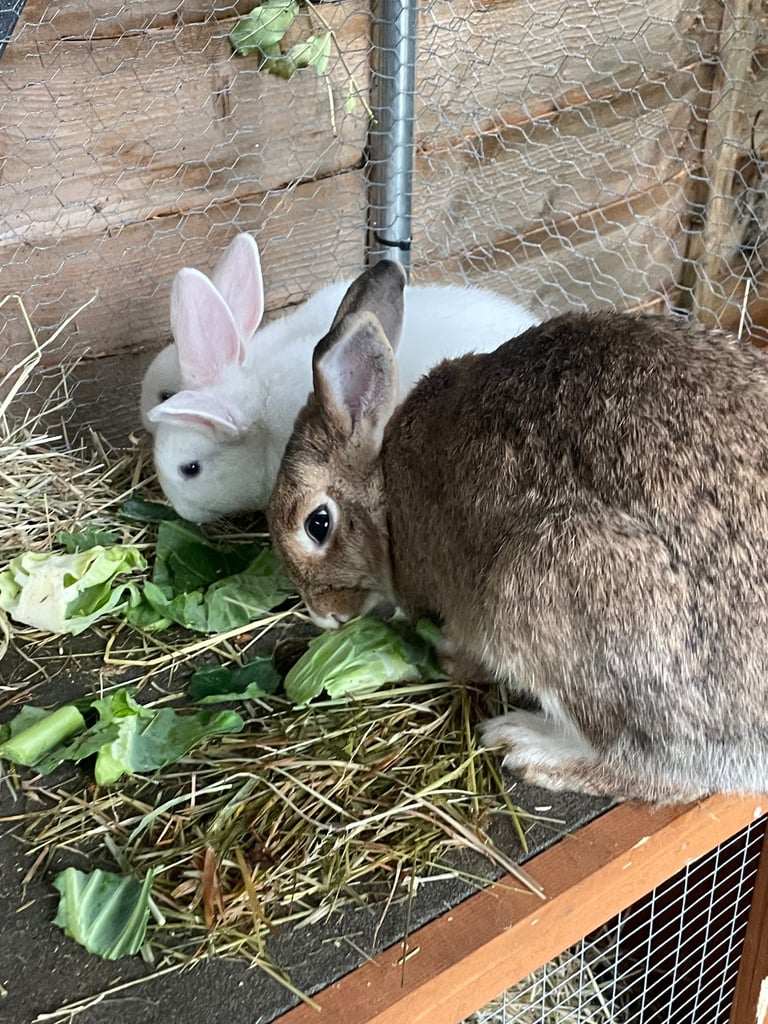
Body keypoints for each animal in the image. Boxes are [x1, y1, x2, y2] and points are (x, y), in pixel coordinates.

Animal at [267, 260, 768, 804]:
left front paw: (448, 658)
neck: (387, 487)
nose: (324, 616)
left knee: (653, 771)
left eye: (318, 524)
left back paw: (526, 745)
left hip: (549, 585)